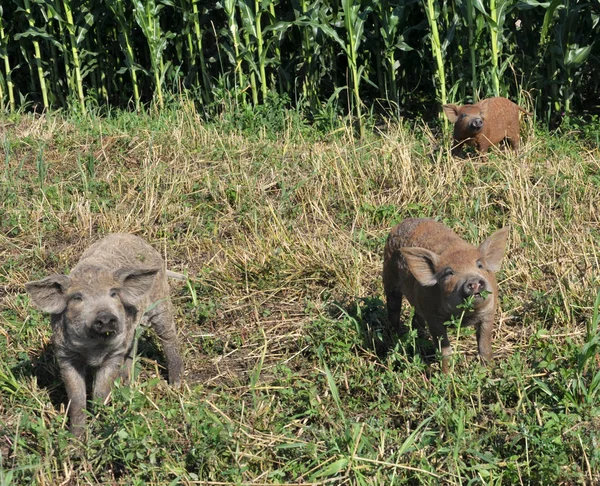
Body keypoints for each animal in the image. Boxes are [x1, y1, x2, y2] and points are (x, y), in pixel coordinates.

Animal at [27, 234, 183, 434]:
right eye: (77, 298)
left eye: (114, 293)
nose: (106, 316)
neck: (94, 349)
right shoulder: (65, 356)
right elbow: (76, 399)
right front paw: (76, 438)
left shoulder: (113, 355)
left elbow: (101, 391)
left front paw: (100, 426)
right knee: (132, 350)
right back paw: (127, 384)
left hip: (161, 301)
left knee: (168, 336)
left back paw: (175, 386)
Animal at [384, 218, 506, 374]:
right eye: (449, 273)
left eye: (480, 265)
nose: (473, 281)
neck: (465, 316)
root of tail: (402, 222)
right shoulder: (434, 318)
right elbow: (445, 351)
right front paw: (446, 376)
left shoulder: (489, 313)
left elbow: (484, 347)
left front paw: (488, 371)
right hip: (389, 277)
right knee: (393, 310)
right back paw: (394, 338)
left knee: (416, 319)